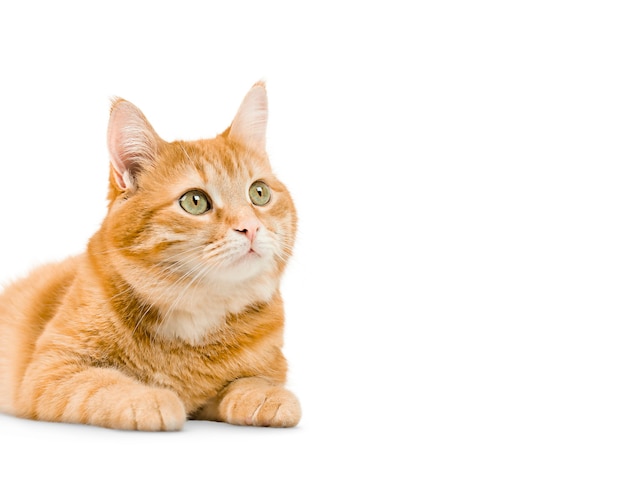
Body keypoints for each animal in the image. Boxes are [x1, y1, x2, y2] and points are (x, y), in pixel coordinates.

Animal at [0, 82, 300, 430]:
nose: (250, 227)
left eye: (259, 193)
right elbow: (103, 383)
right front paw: (149, 398)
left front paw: (267, 396)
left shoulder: (268, 367)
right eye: (195, 201)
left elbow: (252, 380)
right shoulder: (51, 371)